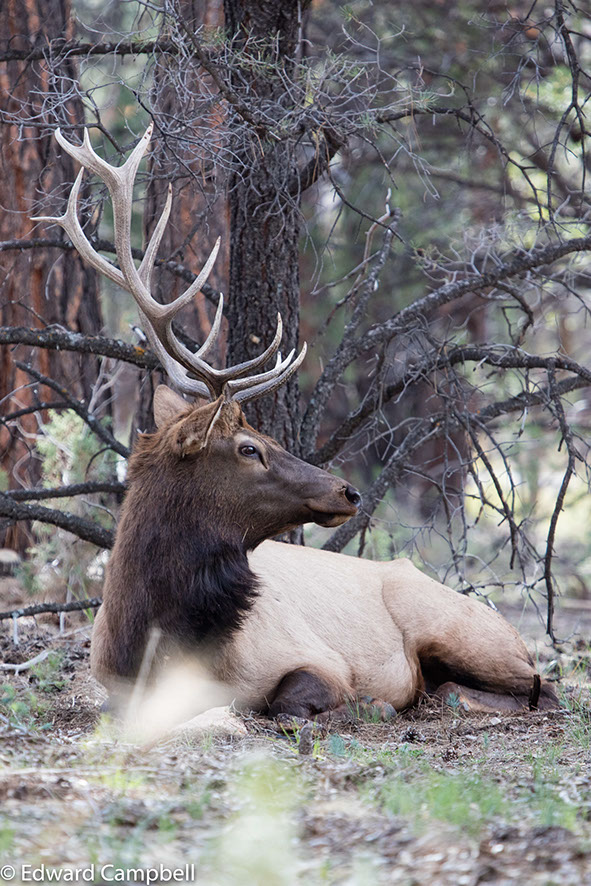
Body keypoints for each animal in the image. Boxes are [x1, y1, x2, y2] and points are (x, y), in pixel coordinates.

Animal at [34, 124, 559, 722]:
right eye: (248, 448)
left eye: (267, 437)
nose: (348, 491)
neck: (156, 644)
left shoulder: (315, 659)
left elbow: (289, 700)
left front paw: (367, 703)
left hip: (464, 631)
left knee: (537, 685)